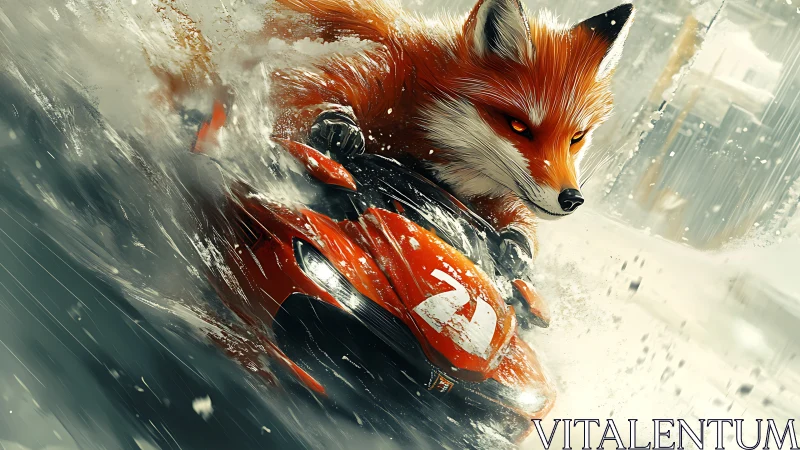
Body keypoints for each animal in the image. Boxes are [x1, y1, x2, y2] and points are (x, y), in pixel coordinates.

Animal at [268, 0, 635, 274]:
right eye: (518, 126)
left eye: (577, 137)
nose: (572, 198)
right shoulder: (383, 68)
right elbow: (296, 91)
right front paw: (338, 126)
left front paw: (517, 246)